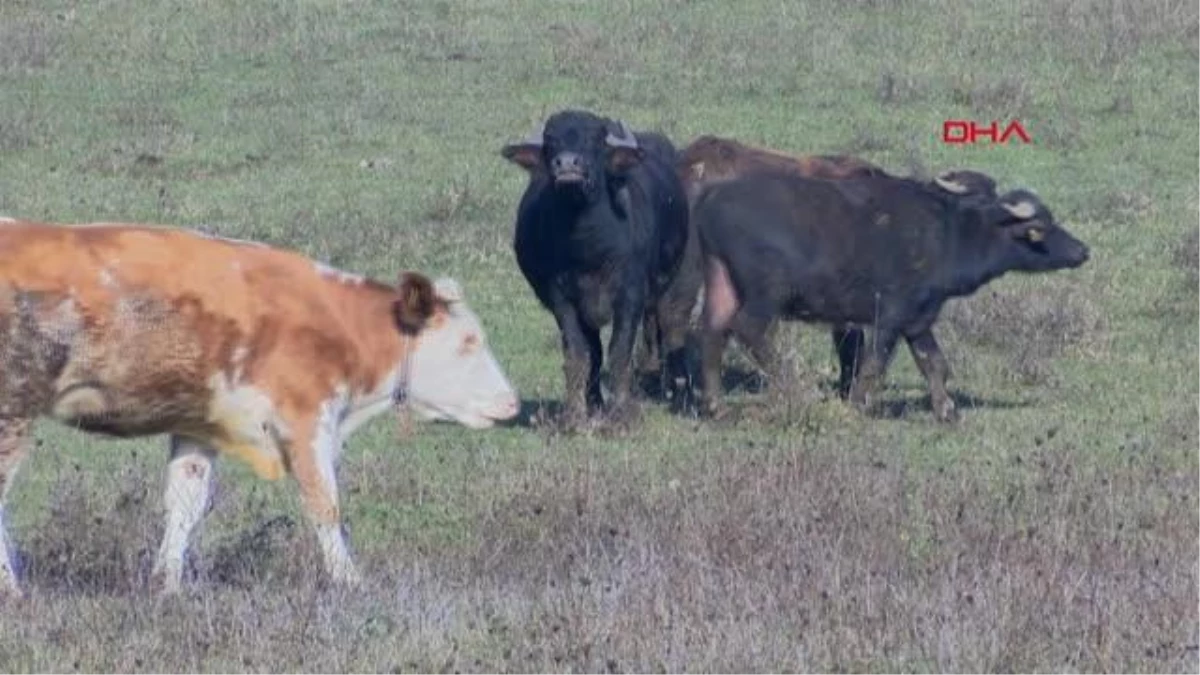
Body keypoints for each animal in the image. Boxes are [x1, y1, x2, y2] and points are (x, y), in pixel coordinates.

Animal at [0, 219, 520, 593]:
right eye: (469, 342)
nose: (512, 402)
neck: (339, 324)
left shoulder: (199, 426)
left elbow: (184, 505)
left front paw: (167, 585)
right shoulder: (306, 420)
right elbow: (325, 506)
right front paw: (350, 582)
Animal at [499, 111, 700, 425]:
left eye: (594, 140)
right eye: (550, 140)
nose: (568, 164)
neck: (587, 250)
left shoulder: (630, 296)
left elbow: (619, 353)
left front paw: (621, 414)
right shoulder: (562, 300)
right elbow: (579, 355)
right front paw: (575, 415)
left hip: (673, 284)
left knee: (668, 328)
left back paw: (676, 391)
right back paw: (594, 402)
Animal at [691, 169, 1094, 420]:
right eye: (1041, 226)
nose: (1083, 250)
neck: (952, 234)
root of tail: (712, 199)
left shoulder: (919, 319)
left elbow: (935, 363)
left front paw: (946, 410)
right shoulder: (892, 315)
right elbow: (874, 365)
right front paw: (857, 405)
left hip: (720, 281)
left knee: (712, 332)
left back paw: (717, 406)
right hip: (767, 295)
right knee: (749, 330)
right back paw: (796, 388)